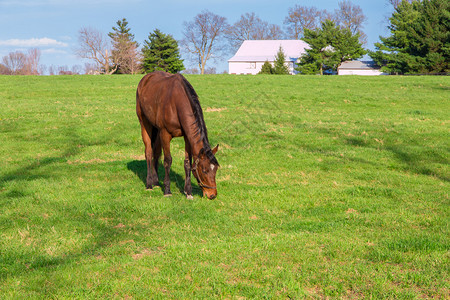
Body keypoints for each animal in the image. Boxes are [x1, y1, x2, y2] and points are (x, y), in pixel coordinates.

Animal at [134, 71, 219, 199]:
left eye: (216, 170)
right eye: (204, 170)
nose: (212, 195)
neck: (176, 103)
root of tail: (144, 79)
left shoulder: (187, 137)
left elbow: (187, 163)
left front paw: (188, 192)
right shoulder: (165, 134)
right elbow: (168, 161)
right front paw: (167, 190)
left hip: (157, 131)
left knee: (156, 153)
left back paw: (156, 182)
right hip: (145, 124)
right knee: (148, 152)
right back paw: (149, 184)